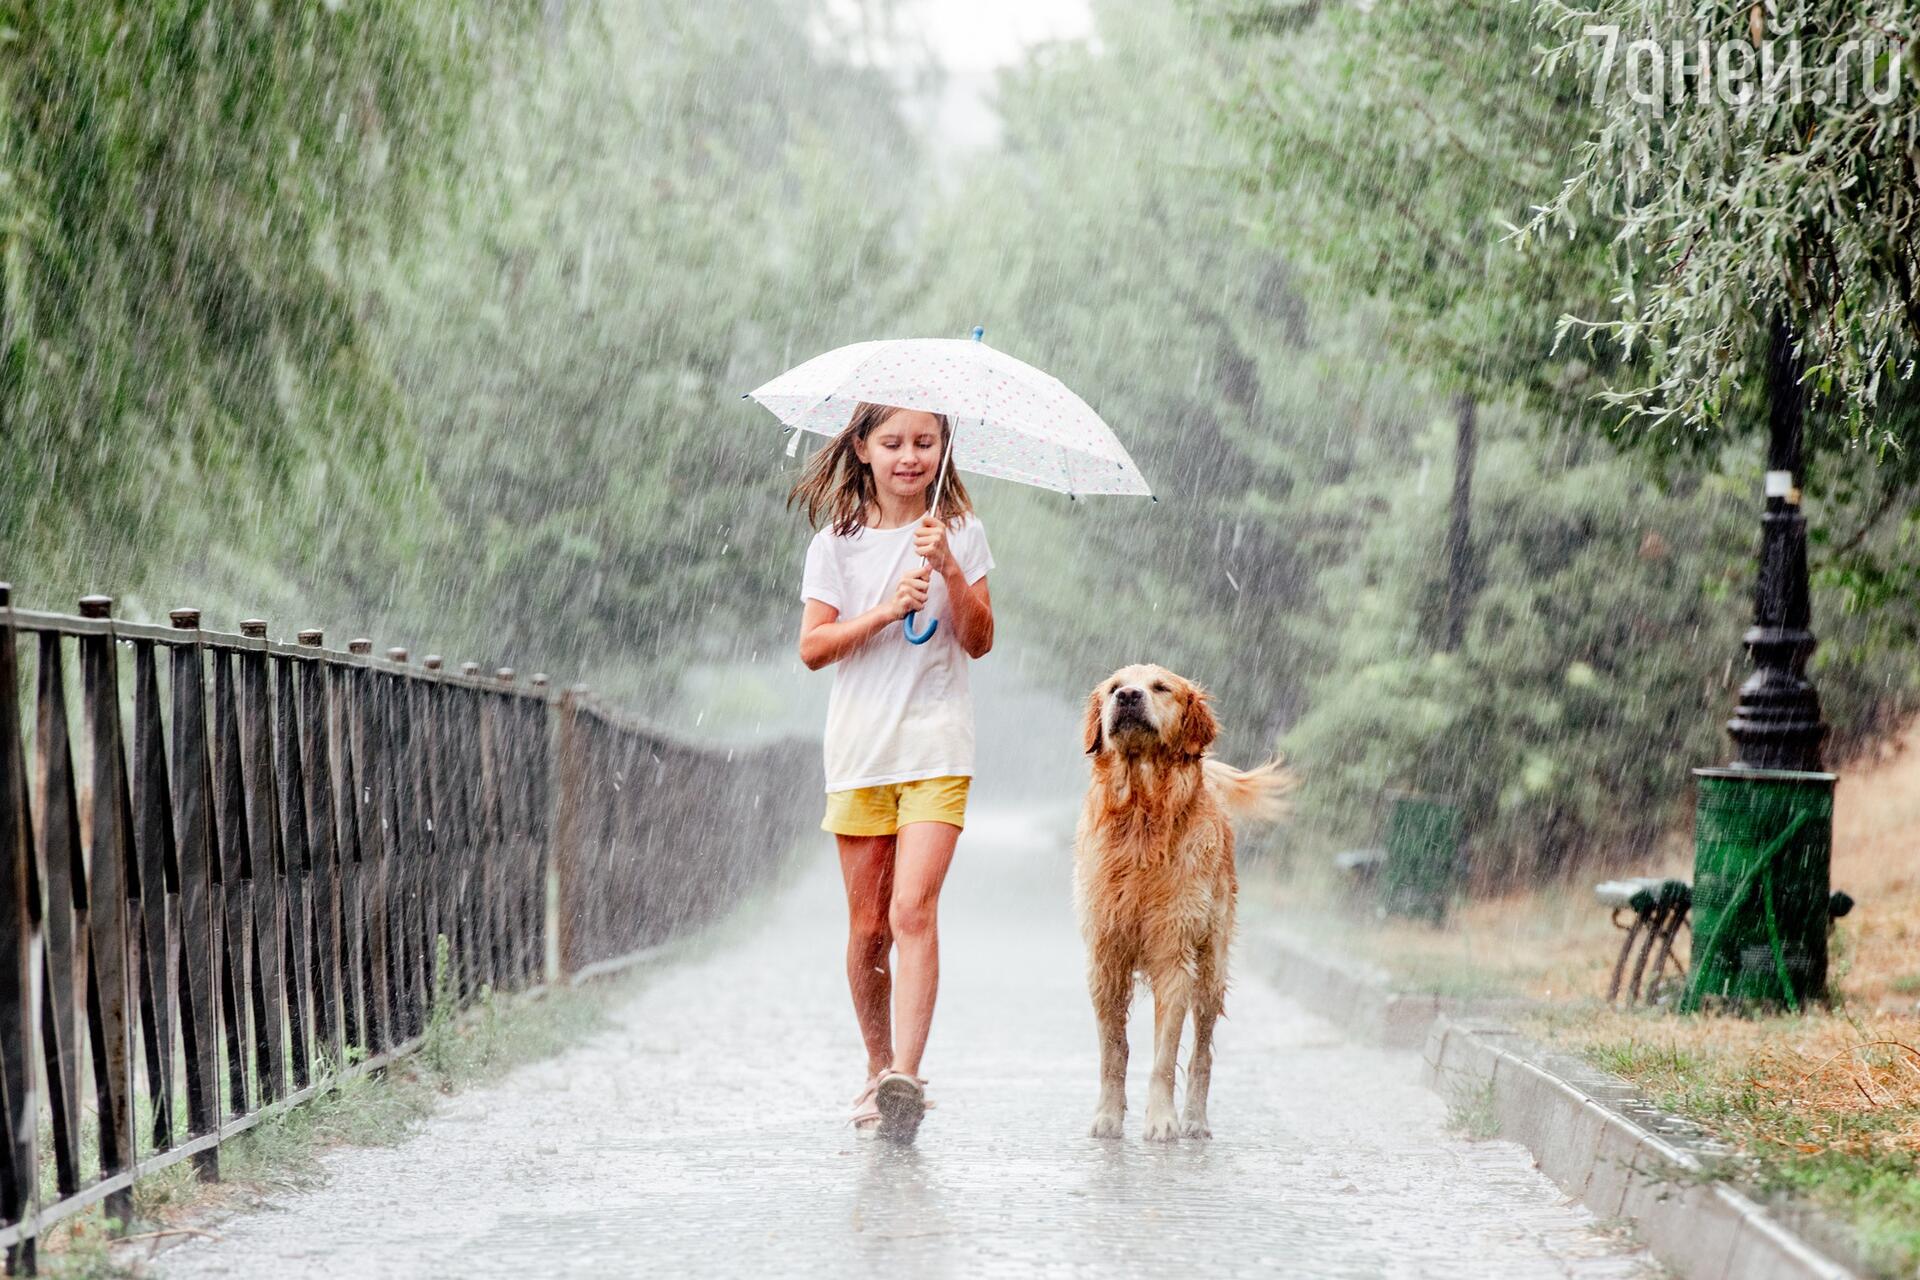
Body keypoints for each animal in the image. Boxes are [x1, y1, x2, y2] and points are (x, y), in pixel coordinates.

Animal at [1075, 667, 1297, 1136]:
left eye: (1161, 687)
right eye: (1113, 687)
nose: (1128, 696)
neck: (1141, 816)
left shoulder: (1174, 956)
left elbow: (1164, 1057)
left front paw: (1163, 1120)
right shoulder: (1105, 959)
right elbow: (1113, 1051)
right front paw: (1107, 1115)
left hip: (1211, 966)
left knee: (1202, 1054)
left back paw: (1195, 1119)